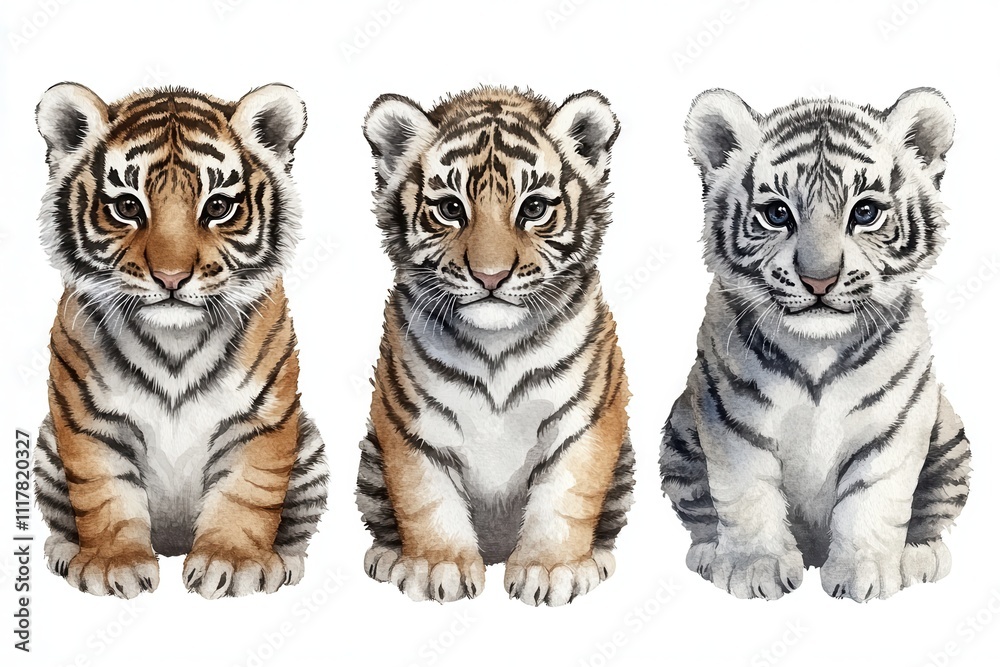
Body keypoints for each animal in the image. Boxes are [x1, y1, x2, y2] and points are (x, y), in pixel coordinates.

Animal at [33, 83, 328, 599]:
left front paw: (232, 562)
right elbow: (103, 495)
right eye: (128, 207)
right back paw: (66, 553)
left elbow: (246, 493)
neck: (174, 341)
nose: (171, 277)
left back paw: (285, 561)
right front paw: (114, 565)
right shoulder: (89, 421)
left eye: (218, 207)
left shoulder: (260, 419)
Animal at [355, 87, 634, 606]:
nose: (490, 276)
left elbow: (566, 497)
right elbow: (426, 498)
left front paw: (551, 570)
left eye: (534, 208)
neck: (496, 345)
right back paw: (387, 556)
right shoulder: (409, 422)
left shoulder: (583, 419)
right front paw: (436, 566)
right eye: (450, 209)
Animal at [659, 88, 972, 602]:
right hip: (681, 432)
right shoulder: (730, 421)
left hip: (947, 434)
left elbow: (872, 497)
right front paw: (755, 569)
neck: (817, 350)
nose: (819, 279)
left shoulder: (894, 425)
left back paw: (918, 558)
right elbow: (746, 493)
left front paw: (865, 573)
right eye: (777, 213)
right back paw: (708, 555)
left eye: (865, 212)